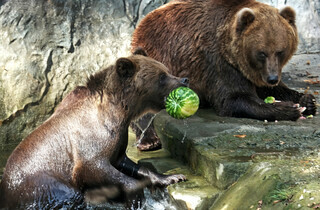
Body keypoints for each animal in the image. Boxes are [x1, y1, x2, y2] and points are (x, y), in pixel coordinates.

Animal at [0, 49, 186, 208]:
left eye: (166, 70)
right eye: (162, 77)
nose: (184, 80)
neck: (119, 111)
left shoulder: (117, 139)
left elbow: (126, 163)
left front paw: (172, 177)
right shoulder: (88, 140)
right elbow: (92, 167)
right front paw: (136, 197)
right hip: (41, 186)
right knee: (69, 196)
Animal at [131, 0, 316, 151]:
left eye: (280, 51)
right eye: (262, 53)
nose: (272, 78)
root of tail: (142, 22)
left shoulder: (252, 71)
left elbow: (273, 89)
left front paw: (307, 101)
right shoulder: (216, 61)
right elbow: (232, 98)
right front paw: (288, 109)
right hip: (158, 54)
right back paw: (149, 140)